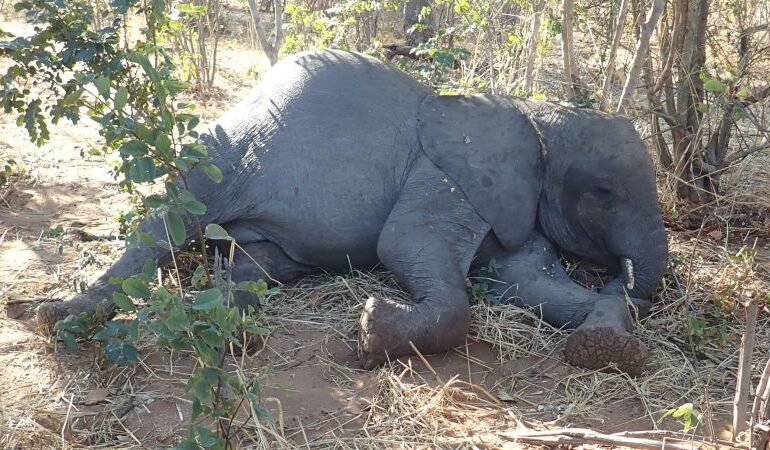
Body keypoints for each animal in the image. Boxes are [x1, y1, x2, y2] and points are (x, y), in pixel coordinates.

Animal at [37, 49, 664, 376]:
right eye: (604, 191)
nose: (619, 275)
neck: (533, 116)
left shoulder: (510, 203)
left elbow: (525, 281)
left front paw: (606, 348)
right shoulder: (445, 175)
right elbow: (404, 244)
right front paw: (369, 333)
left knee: (253, 265)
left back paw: (227, 323)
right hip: (215, 159)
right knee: (162, 230)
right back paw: (62, 319)